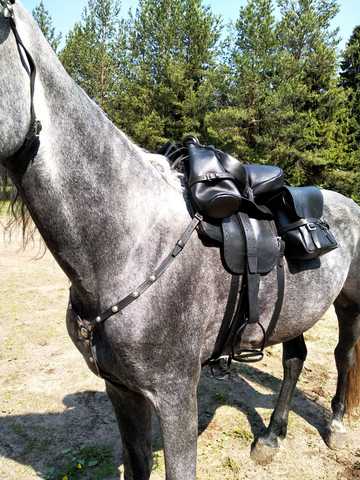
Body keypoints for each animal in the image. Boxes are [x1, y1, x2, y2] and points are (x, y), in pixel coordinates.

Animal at [0, 1, 360, 478]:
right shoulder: (122, 390)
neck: (130, 245)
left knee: (344, 353)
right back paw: (271, 437)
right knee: (295, 357)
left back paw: (337, 425)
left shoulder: (175, 396)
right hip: (294, 310)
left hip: (350, 303)